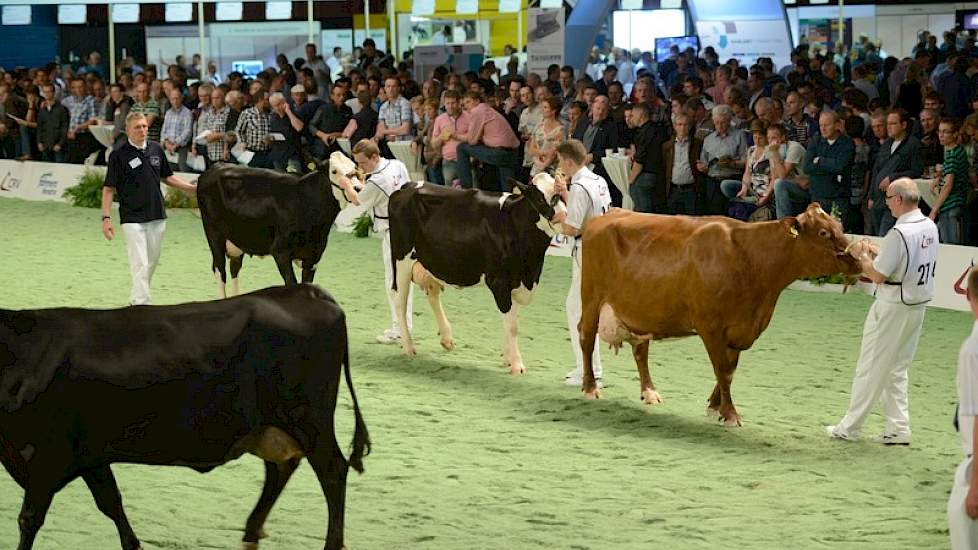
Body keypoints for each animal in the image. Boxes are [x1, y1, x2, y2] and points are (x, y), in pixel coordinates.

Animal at [0, 284, 370, 550]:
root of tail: (308, 291)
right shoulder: (88, 455)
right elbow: (111, 503)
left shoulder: (48, 456)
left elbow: (29, 519)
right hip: (270, 426)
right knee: (281, 468)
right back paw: (251, 533)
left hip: (308, 418)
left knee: (332, 472)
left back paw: (330, 544)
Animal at [194, 151, 358, 298]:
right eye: (334, 171)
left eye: (355, 169)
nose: (357, 188)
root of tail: (216, 167)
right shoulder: (280, 251)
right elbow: (292, 284)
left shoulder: (314, 255)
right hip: (214, 234)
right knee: (220, 269)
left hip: (237, 239)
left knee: (234, 268)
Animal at [388, 175, 564, 378]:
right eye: (539, 198)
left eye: (560, 194)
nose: (562, 215)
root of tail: (408, 185)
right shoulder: (499, 282)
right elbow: (512, 326)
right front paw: (517, 365)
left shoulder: (518, 283)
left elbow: (511, 320)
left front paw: (508, 357)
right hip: (401, 258)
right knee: (399, 299)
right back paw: (409, 347)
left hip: (433, 261)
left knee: (432, 294)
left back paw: (446, 338)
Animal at [580, 204, 860, 426]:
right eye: (823, 233)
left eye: (839, 225)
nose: (857, 260)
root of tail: (611, 213)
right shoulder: (711, 326)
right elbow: (722, 369)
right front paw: (730, 413)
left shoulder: (741, 329)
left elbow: (730, 370)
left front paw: (715, 407)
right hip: (591, 297)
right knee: (586, 337)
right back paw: (590, 387)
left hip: (640, 311)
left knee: (640, 349)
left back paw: (649, 392)